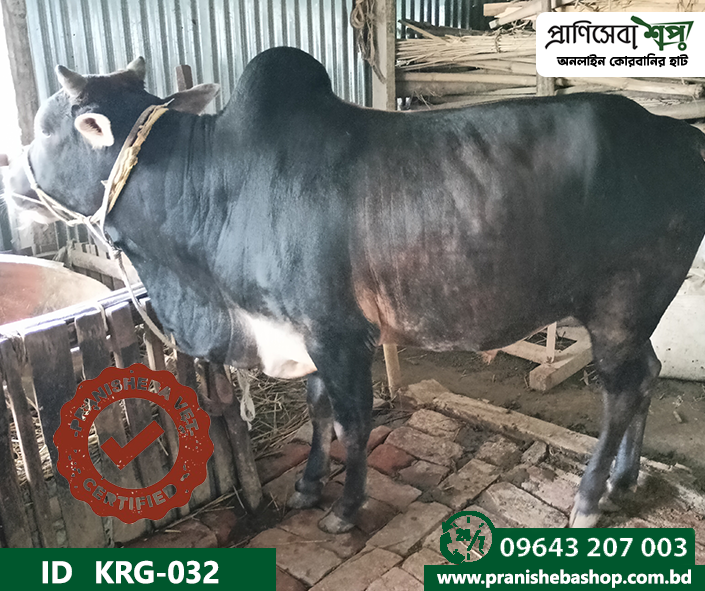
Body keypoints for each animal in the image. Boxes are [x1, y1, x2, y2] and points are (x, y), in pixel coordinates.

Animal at [6, 47, 705, 532]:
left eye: (43, 129)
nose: (11, 176)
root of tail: (678, 134)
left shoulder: (337, 332)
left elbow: (350, 418)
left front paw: (344, 509)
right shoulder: (302, 331)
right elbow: (318, 409)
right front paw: (308, 488)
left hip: (618, 311)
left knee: (620, 393)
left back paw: (590, 498)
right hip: (636, 318)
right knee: (648, 375)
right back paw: (624, 483)